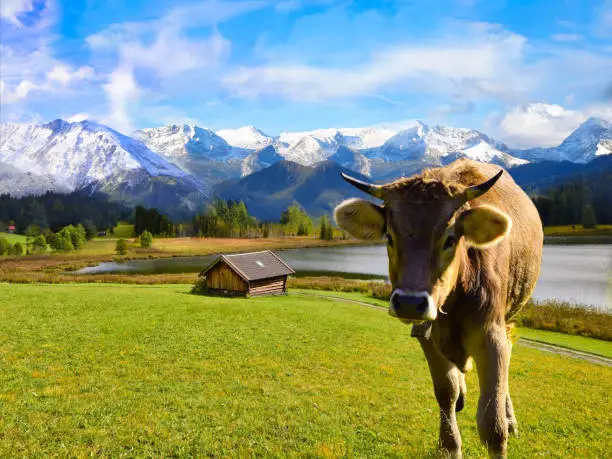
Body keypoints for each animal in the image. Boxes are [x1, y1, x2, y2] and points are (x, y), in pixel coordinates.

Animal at [334, 160, 540, 458]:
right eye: (390, 238)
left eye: (450, 239)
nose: (409, 302)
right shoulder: (426, 335)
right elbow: (446, 393)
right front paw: (450, 445)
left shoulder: (491, 335)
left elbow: (492, 422)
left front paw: (501, 423)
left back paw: (510, 417)